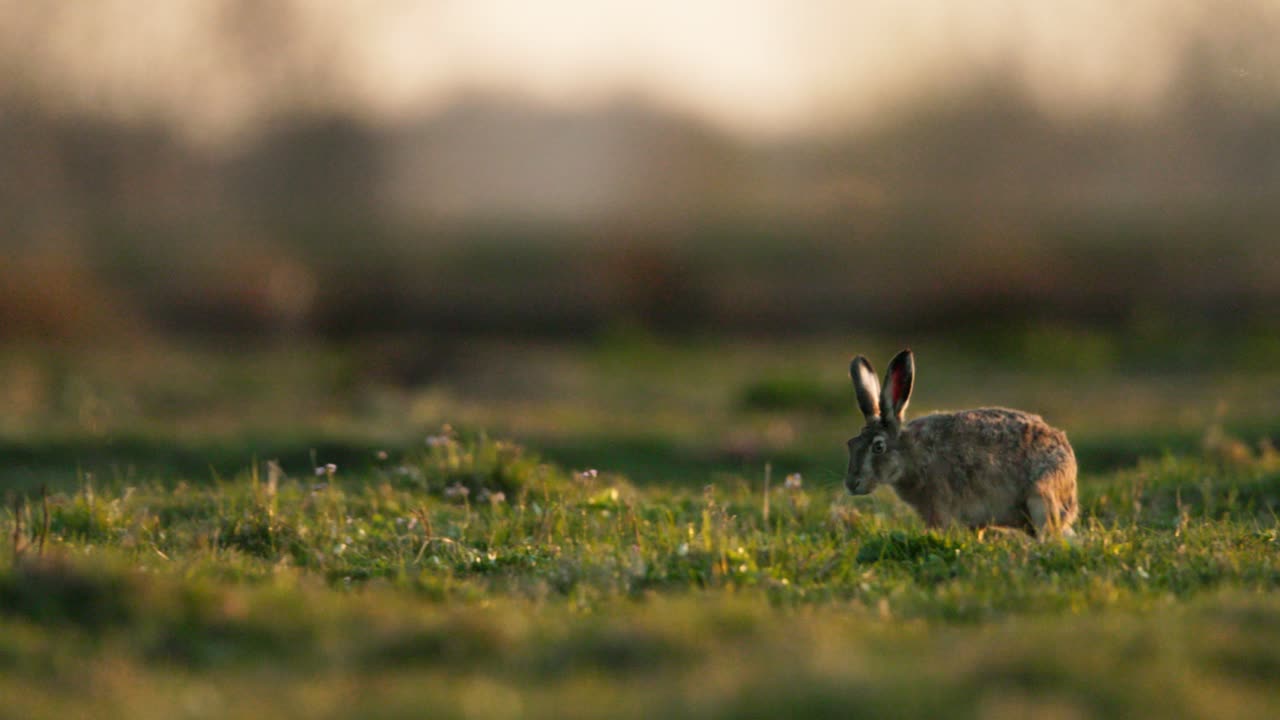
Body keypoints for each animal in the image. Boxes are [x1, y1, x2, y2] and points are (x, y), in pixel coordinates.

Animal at [844, 349, 1077, 537]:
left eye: (878, 447)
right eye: (851, 444)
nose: (851, 484)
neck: (910, 454)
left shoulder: (939, 506)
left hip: (1041, 496)